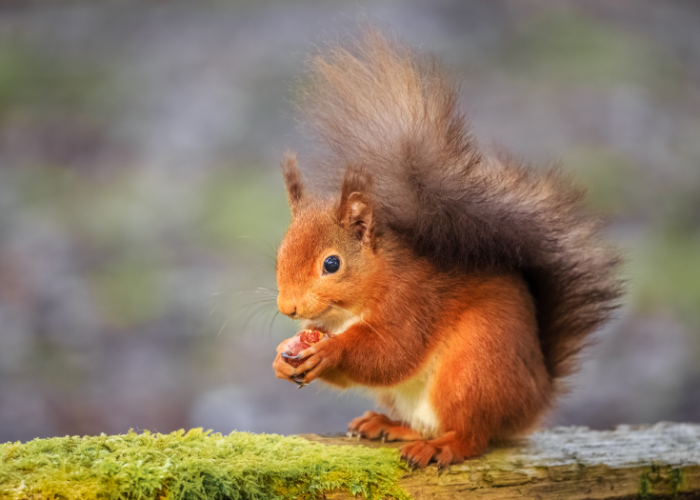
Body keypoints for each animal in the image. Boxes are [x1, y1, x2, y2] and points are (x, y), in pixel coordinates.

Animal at [271, 29, 622, 468]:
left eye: (331, 264)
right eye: (280, 254)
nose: (288, 308)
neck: (351, 309)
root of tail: (534, 398)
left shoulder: (414, 303)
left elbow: (392, 353)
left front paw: (329, 351)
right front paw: (284, 357)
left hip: (471, 371)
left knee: (472, 436)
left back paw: (442, 447)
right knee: (425, 424)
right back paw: (389, 425)